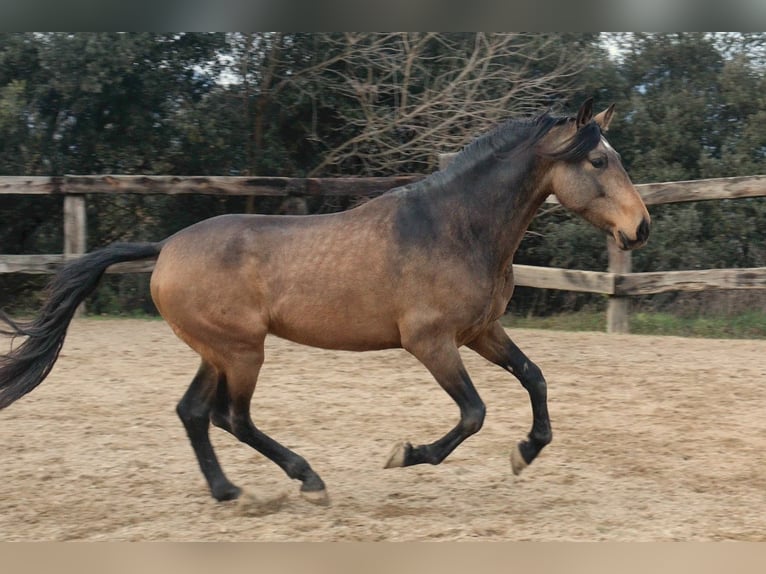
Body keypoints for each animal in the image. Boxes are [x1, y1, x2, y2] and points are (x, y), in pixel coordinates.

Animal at [0, 98, 650, 508]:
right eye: (598, 160)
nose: (639, 228)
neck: (456, 226)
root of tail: (164, 248)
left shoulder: (482, 332)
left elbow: (534, 378)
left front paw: (525, 453)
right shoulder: (430, 343)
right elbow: (473, 413)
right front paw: (405, 455)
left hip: (218, 351)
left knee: (194, 412)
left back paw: (230, 493)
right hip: (242, 352)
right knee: (231, 417)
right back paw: (307, 479)